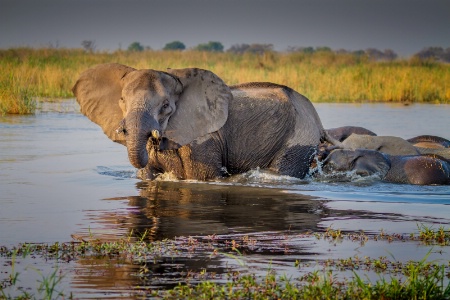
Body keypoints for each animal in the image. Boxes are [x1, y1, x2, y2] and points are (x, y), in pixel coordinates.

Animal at [73, 63, 338, 180]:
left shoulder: (203, 139)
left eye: (166, 106)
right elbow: (146, 176)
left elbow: (202, 177)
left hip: (299, 136)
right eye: (121, 101)